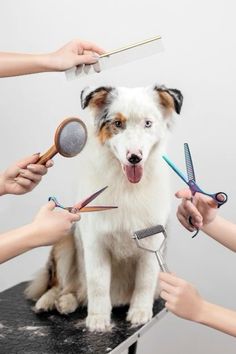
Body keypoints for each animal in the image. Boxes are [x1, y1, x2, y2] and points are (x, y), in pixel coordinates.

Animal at [25, 83, 183, 332]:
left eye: (148, 123)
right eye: (117, 123)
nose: (135, 157)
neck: (126, 187)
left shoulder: (152, 241)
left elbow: (145, 281)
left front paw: (140, 312)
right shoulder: (95, 241)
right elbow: (97, 283)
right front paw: (98, 319)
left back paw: (66, 302)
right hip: (64, 241)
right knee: (62, 284)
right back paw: (52, 301)